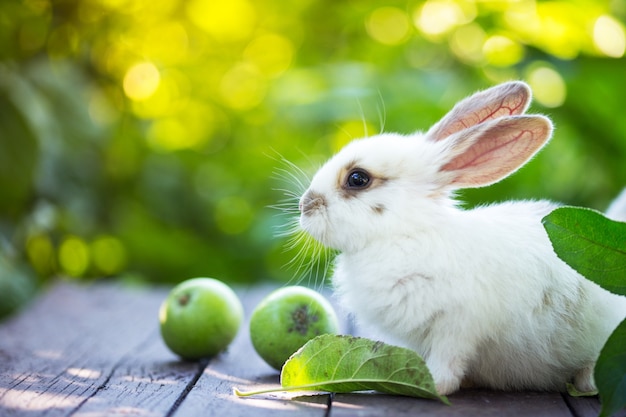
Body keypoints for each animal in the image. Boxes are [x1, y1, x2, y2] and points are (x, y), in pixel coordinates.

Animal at [296, 80, 624, 394]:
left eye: (357, 178)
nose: (305, 205)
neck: (406, 233)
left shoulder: (457, 326)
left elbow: (447, 361)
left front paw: (433, 384)